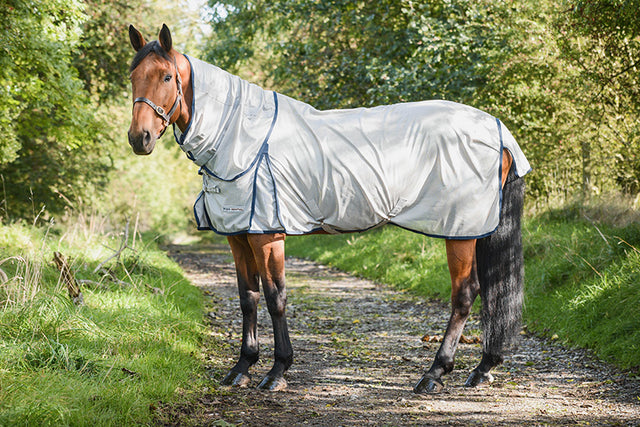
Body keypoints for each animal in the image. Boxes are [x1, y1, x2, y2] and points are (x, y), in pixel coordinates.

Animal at [127, 24, 528, 394]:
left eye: (166, 76)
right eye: (133, 76)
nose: (139, 138)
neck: (241, 138)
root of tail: (497, 130)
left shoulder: (267, 236)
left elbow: (275, 298)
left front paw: (277, 371)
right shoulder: (239, 234)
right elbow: (247, 298)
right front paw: (242, 368)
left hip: (460, 231)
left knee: (465, 294)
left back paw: (434, 374)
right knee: (488, 289)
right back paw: (482, 369)